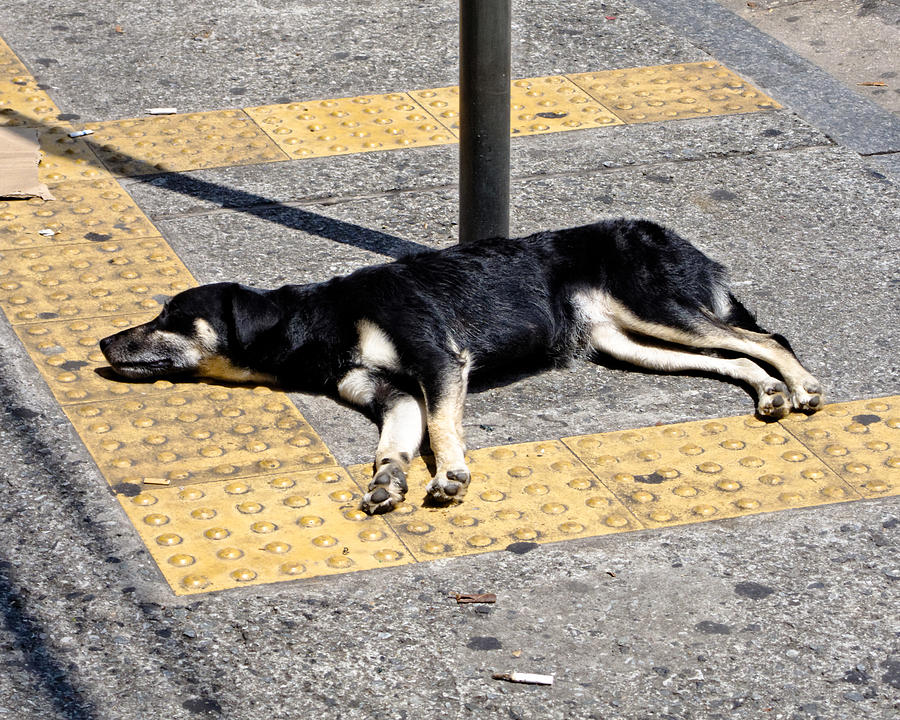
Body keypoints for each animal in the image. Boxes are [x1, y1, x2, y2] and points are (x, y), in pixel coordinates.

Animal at [98, 217, 824, 516]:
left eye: (169, 317)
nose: (103, 346)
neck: (319, 320)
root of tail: (675, 237)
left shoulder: (438, 361)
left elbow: (444, 428)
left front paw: (449, 475)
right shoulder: (393, 395)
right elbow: (393, 446)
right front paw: (388, 481)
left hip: (654, 306)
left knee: (768, 337)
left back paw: (802, 384)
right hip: (632, 341)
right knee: (733, 357)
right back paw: (768, 394)